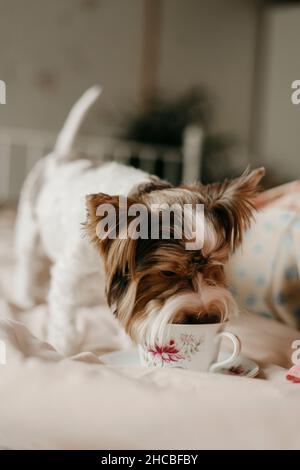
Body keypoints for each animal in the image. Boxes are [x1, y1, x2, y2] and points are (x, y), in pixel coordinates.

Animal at [12, 86, 264, 354]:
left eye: (216, 266)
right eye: (168, 272)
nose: (205, 317)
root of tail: (63, 156)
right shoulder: (70, 273)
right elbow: (65, 316)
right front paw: (65, 350)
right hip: (29, 226)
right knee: (27, 260)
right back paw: (25, 297)